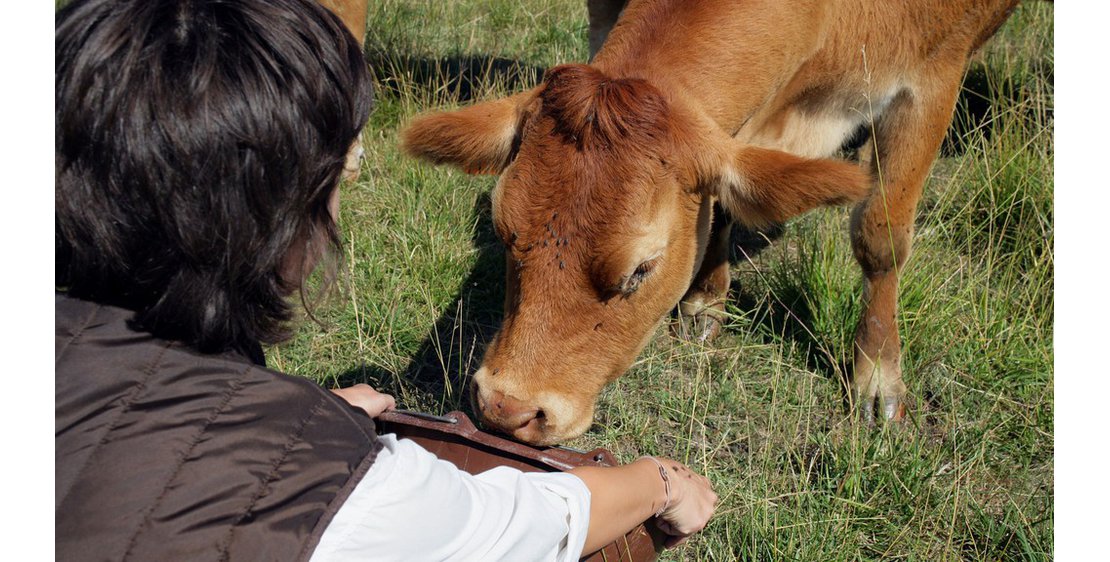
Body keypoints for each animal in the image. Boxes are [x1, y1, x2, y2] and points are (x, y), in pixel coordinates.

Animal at [404, 0, 1016, 444]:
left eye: (641, 270)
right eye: (504, 234)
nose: (507, 408)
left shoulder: (932, 76)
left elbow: (880, 236)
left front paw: (878, 378)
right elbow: (722, 200)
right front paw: (704, 300)